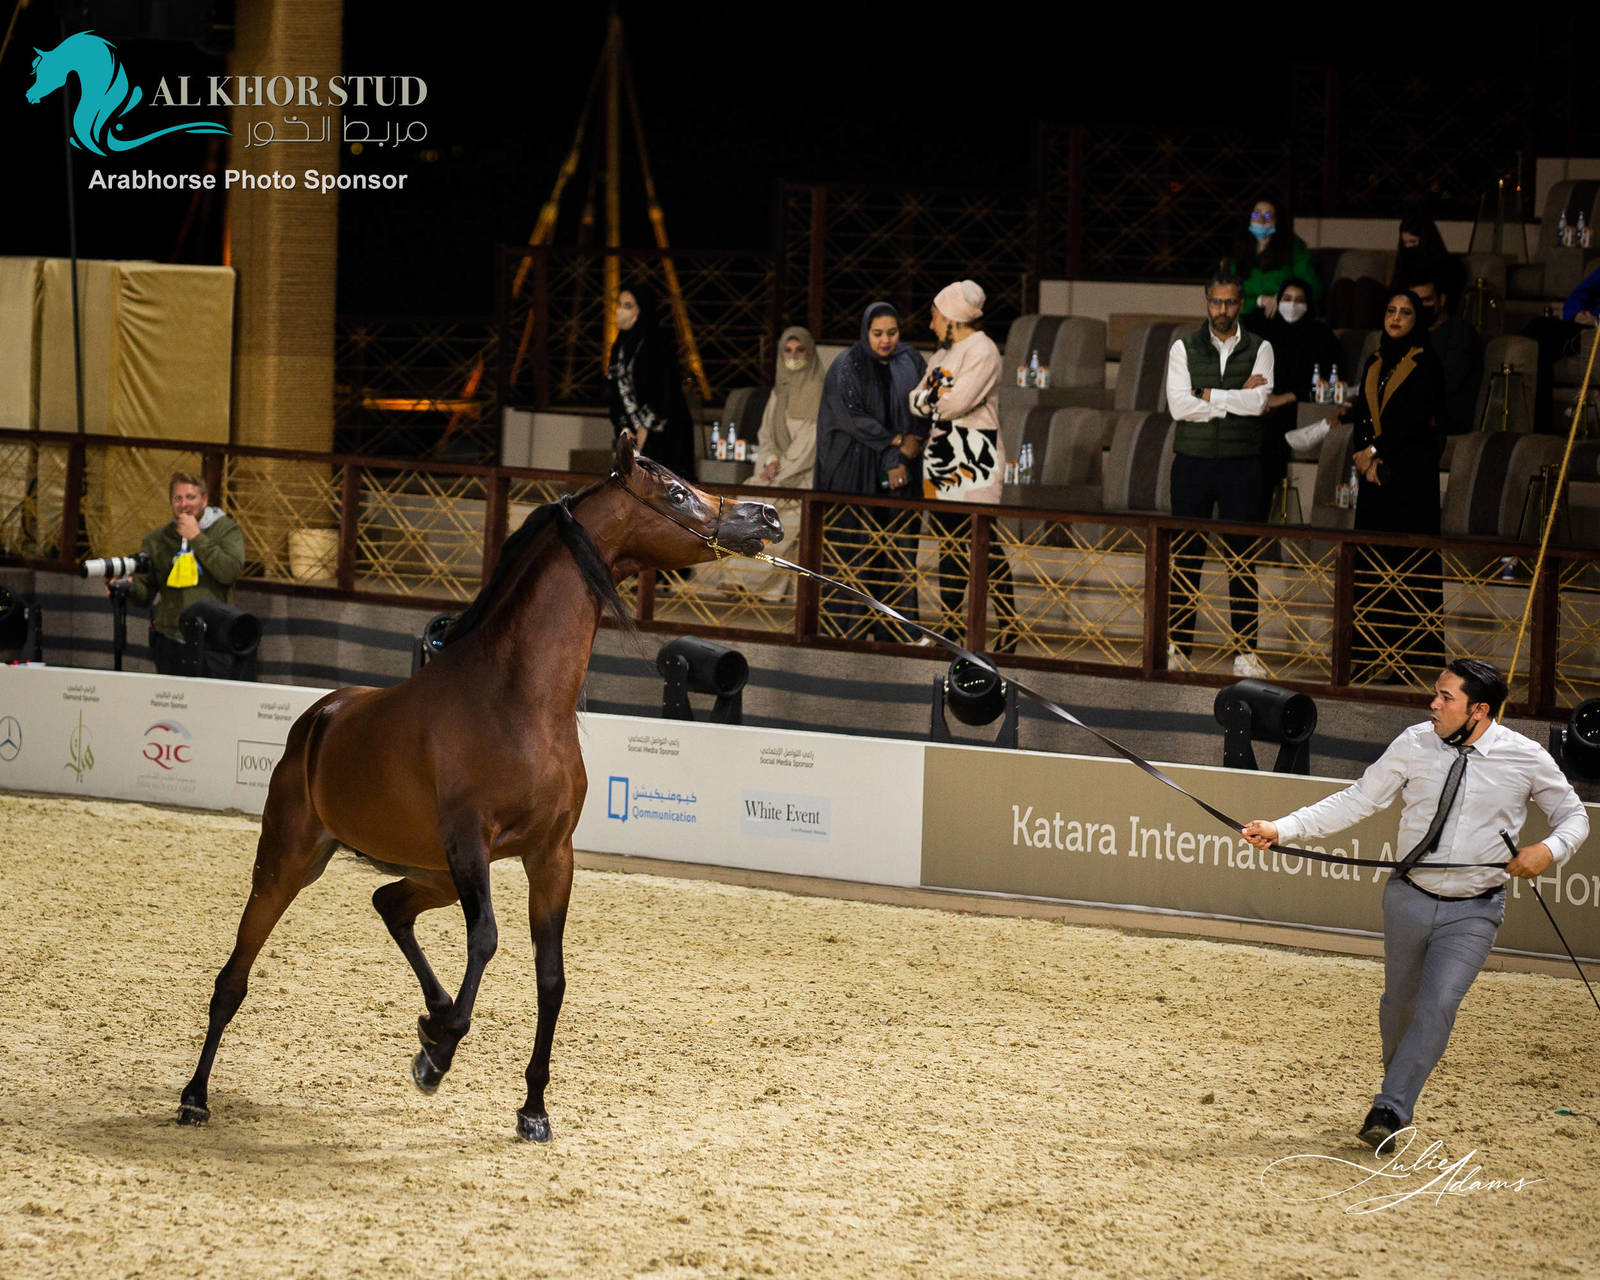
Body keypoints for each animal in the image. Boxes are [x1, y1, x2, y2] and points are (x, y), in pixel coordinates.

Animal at [178, 436, 782, 1141]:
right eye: (677, 493)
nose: (767, 516)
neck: (519, 701)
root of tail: (319, 718)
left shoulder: (550, 855)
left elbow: (551, 976)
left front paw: (532, 1108)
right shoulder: (472, 845)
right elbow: (487, 939)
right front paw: (436, 1062)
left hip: (429, 872)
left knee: (390, 904)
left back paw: (432, 1012)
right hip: (290, 863)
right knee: (233, 980)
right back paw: (195, 1096)